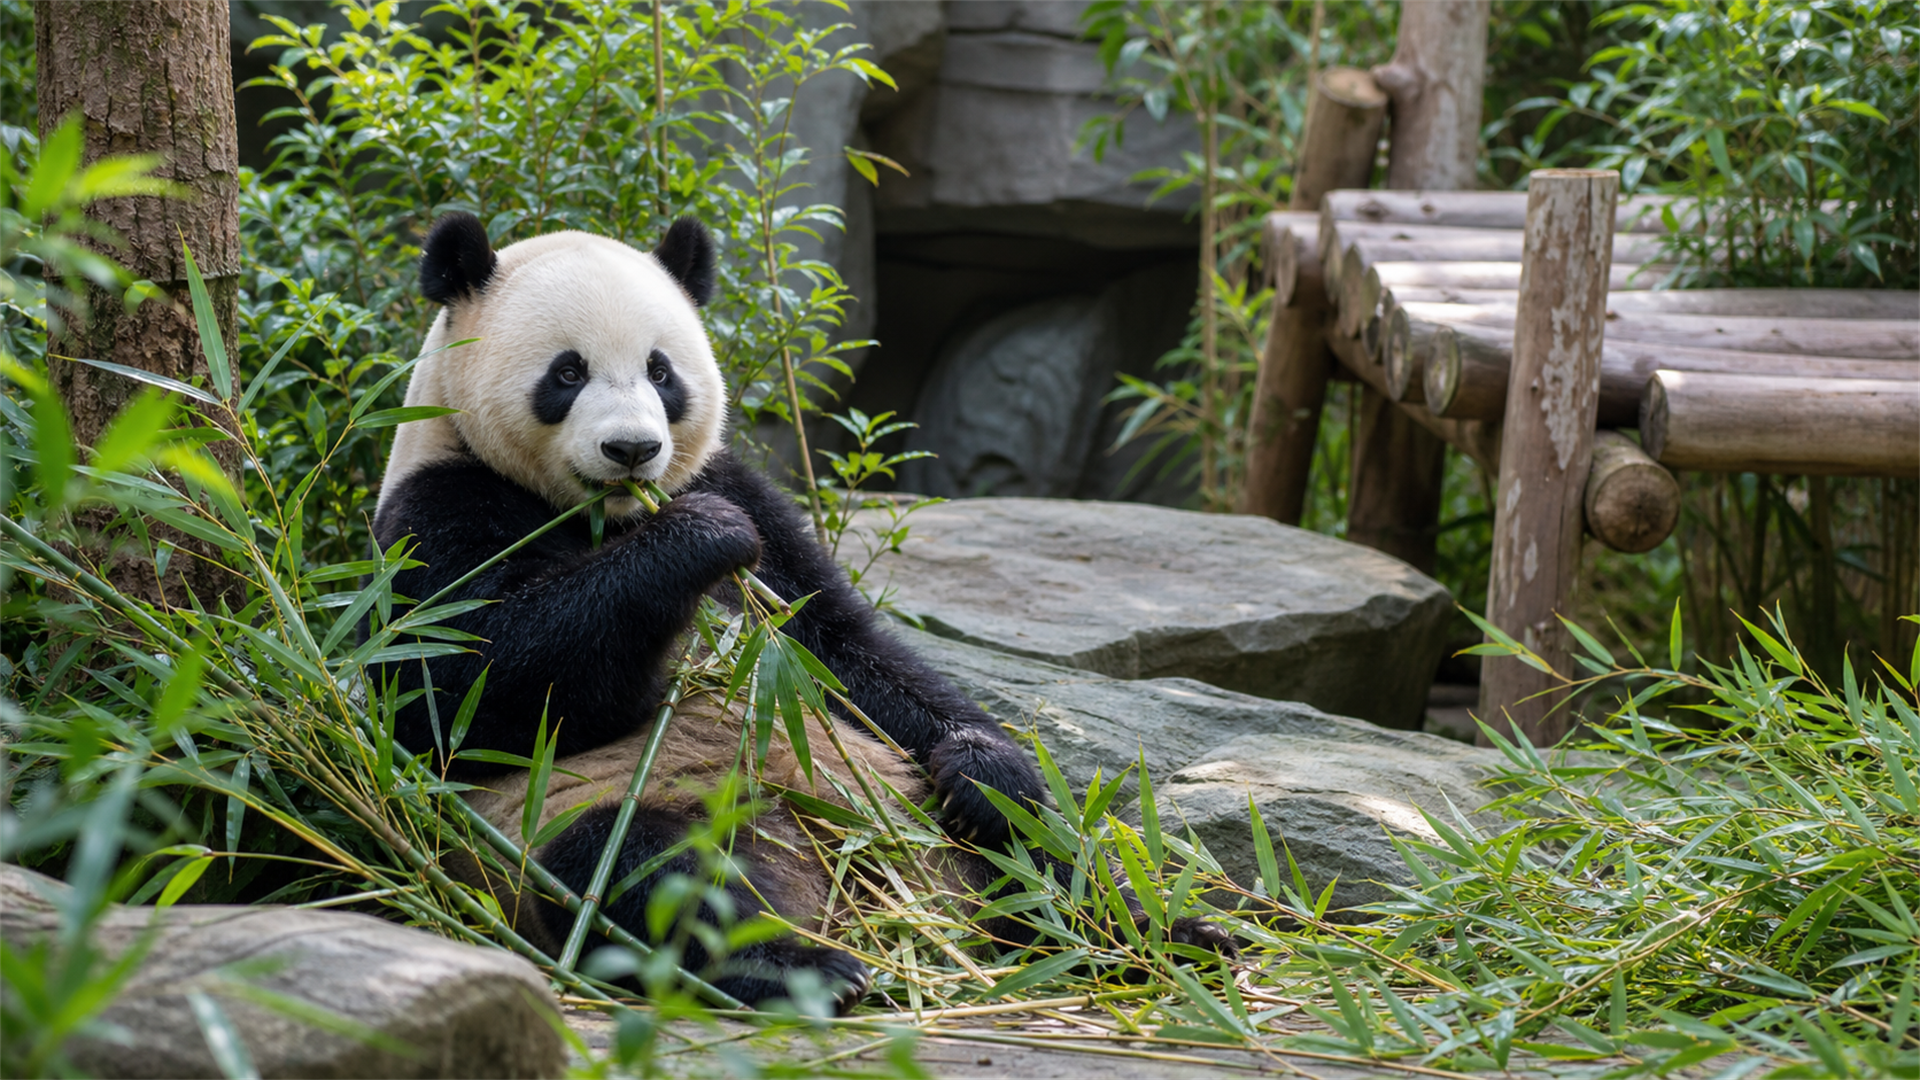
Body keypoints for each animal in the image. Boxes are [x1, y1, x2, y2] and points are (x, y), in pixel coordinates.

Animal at [371, 212, 1232, 1012]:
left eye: (661, 371)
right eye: (568, 372)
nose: (632, 451)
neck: (607, 517)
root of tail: (853, 885)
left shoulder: (749, 497)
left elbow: (844, 647)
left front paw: (985, 762)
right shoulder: (439, 509)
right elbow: (463, 695)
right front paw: (700, 539)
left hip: (915, 803)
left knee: (1043, 853)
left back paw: (1157, 936)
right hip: (585, 820)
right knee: (644, 871)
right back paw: (807, 970)